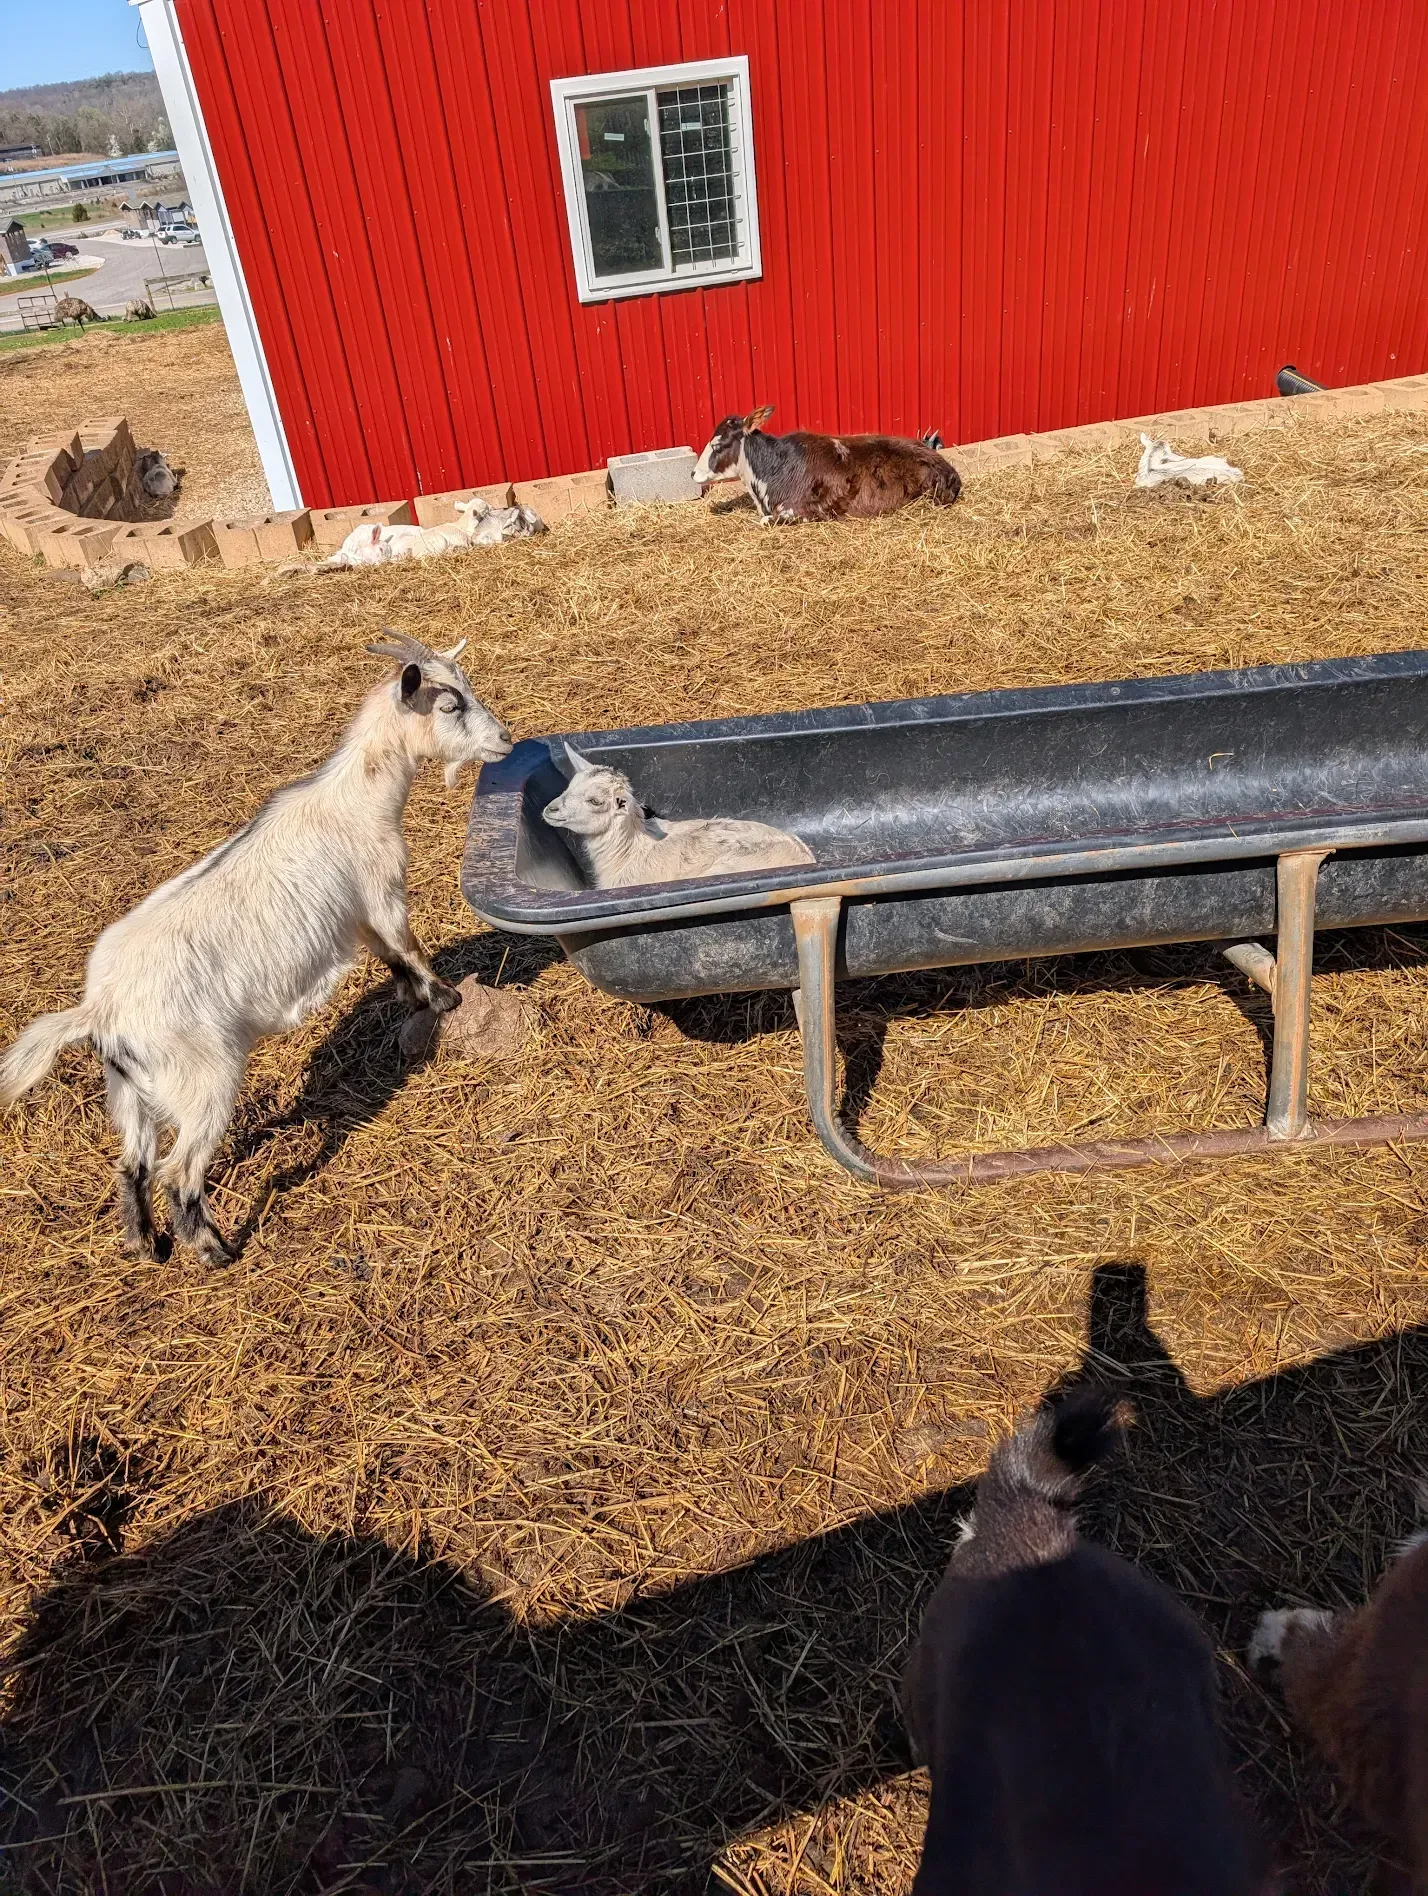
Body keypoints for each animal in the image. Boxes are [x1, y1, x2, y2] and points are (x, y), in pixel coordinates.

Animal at [0, 633, 511, 1266]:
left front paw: (415, 999)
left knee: (131, 1165)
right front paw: (444, 999)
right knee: (178, 1172)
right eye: (449, 705)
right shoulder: (381, 890)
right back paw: (214, 1251)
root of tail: (101, 1009)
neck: (355, 800)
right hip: (204, 1077)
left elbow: (389, 957)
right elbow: (408, 946)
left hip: (129, 1090)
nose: (505, 739)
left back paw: (147, 1246)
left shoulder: (357, 914)